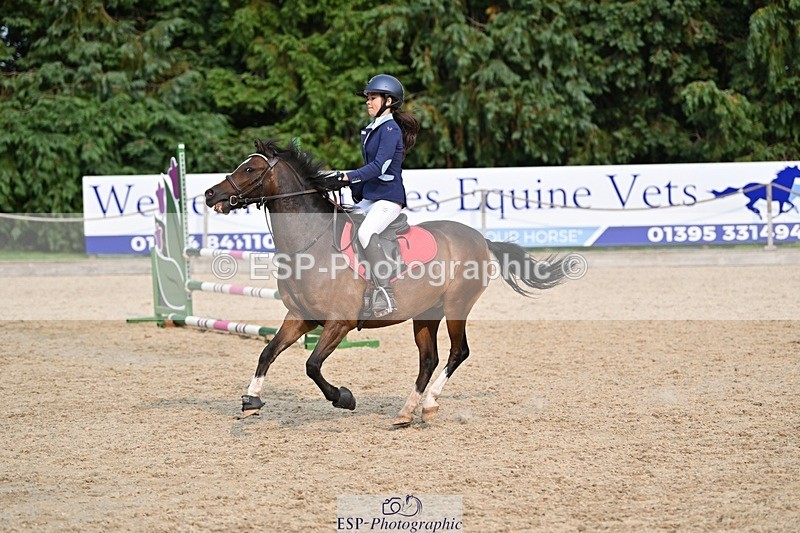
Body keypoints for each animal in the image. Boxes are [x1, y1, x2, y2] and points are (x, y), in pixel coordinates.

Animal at [204, 139, 572, 427]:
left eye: (250, 169)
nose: (210, 194)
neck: (311, 243)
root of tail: (480, 238)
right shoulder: (300, 318)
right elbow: (267, 352)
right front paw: (251, 401)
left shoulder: (339, 323)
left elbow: (311, 365)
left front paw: (344, 397)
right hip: (426, 314)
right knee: (429, 360)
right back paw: (407, 412)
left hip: (457, 306)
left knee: (458, 352)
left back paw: (429, 405)